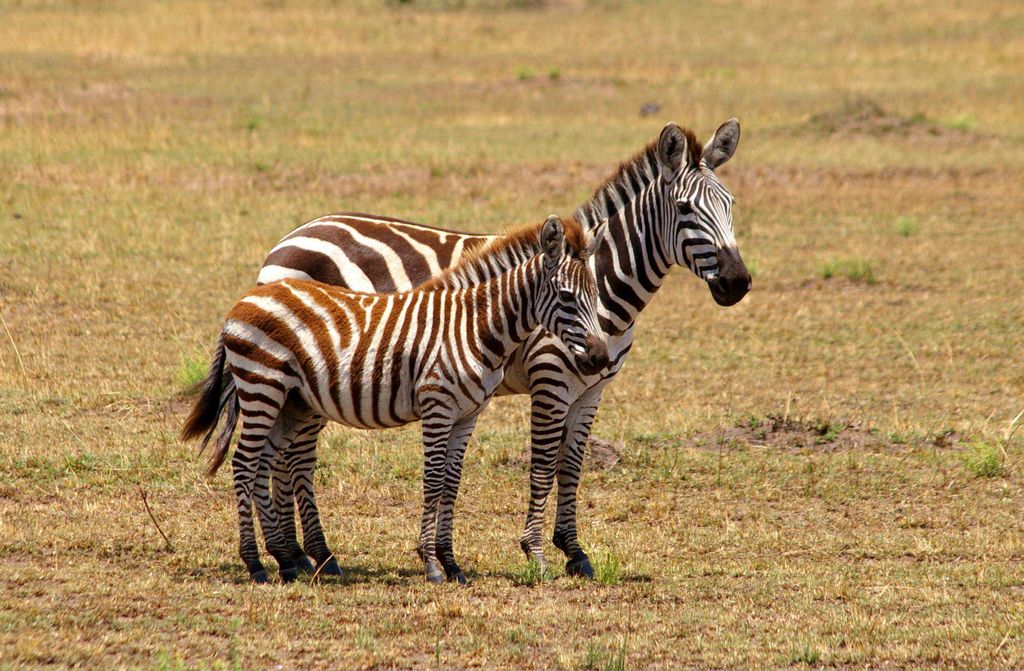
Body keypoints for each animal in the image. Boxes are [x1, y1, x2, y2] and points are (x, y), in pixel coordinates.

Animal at [181, 215, 610, 583]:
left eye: (596, 295)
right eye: (567, 297)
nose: (601, 359)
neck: (474, 326)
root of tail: (244, 300)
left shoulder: (468, 414)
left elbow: (451, 483)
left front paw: (451, 563)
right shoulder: (438, 405)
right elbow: (433, 480)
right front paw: (431, 564)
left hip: (290, 401)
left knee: (264, 464)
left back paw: (286, 561)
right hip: (262, 386)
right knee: (244, 464)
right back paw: (256, 564)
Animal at [259, 120, 750, 578]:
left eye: (731, 205)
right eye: (685, 209)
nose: (738, 283)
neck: (602, 287)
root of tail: (288, 238)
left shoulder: (593, 388)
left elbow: (572, 466)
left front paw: (574, 551)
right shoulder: (551, 379)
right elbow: (543, 463)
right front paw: (535, 552)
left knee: (284, 452)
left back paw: (298, 554)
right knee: (295, 455)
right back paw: (311, 555)